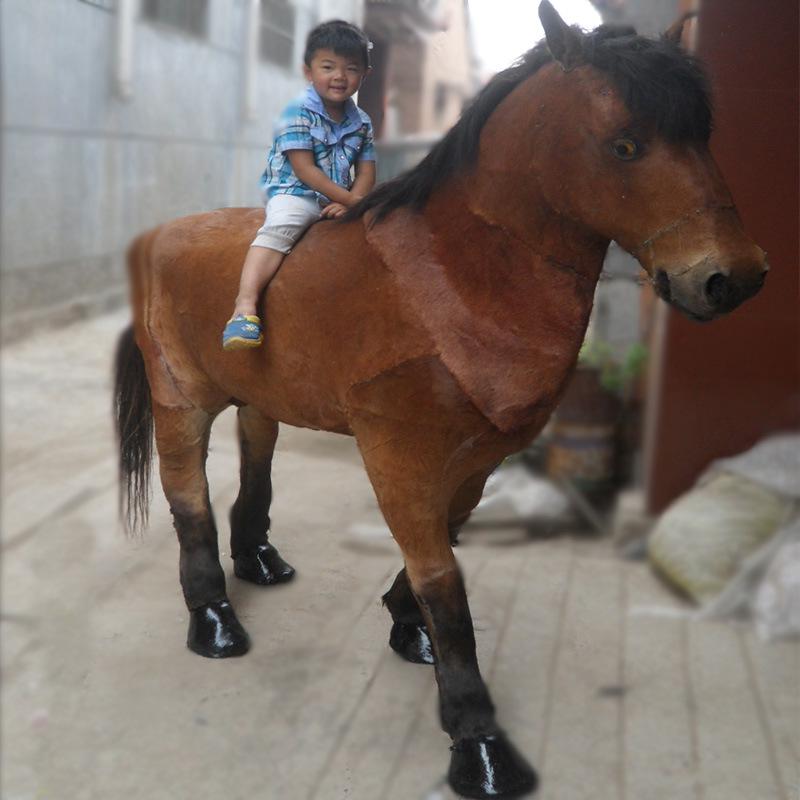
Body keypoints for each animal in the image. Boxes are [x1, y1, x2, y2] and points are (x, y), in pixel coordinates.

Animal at [113, 3, 767, 797]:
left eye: (703, 134)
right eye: (625, 144)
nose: (730, 278)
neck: (456, 277)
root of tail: (154, 234)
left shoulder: (479, 456)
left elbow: (445, 548)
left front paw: (407, 626)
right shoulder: (399, 456)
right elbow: (445, 584)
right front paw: (478, 743)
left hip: (258, 397)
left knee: (256, 466)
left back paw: (260, 563)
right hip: (181, 397)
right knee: (187, 495)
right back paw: (213, 619)